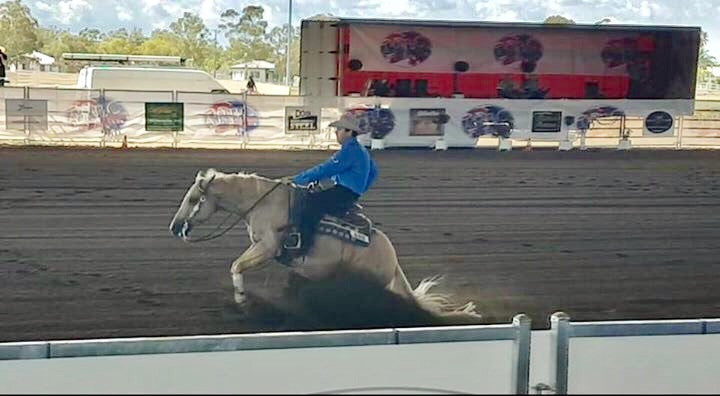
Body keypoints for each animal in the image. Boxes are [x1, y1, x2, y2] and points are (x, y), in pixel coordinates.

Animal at [169, 169, 484, 324]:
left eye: (194, 199)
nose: (175, 227)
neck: (262, 202)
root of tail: (392, 259)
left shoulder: (268, 247)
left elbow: (236, 266)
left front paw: (242, 300)